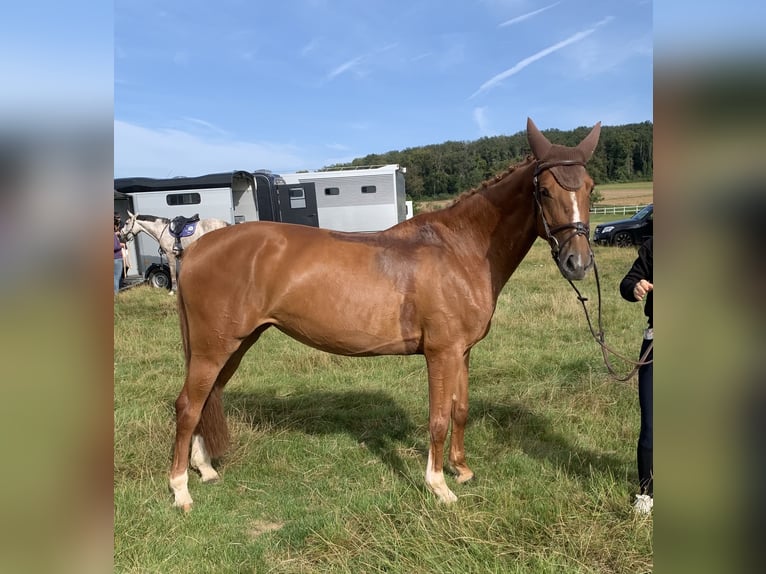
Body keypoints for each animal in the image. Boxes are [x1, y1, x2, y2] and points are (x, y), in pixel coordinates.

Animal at [171, 118, 604, 512]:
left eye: (589, 187)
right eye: (544, 190)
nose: (578, 262)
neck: (459, 248)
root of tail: (196, 248)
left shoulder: (463, 352)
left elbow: (461, 410)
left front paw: (462, 470)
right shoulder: (441, 353)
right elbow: (438, 418)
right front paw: (439, 486)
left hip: (236, 344)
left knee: (207, 398)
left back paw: (205, 469)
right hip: (215, 348)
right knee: (189, 405)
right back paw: (180, 490)